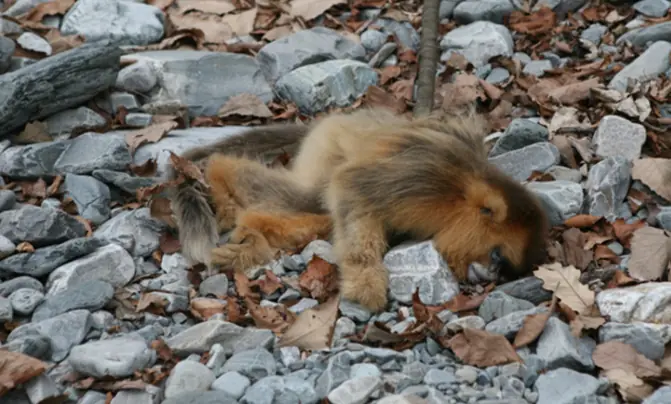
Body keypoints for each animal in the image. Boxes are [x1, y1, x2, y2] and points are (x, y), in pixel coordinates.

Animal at [165, 107, 549, 312]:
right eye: (497, 256)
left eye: (502, 269)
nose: (489, 275)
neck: (462, 195)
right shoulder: (428, 179)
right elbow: (351, 185)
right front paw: (366, 278)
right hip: (327, 144)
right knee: (312, 194)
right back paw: (220, 176)